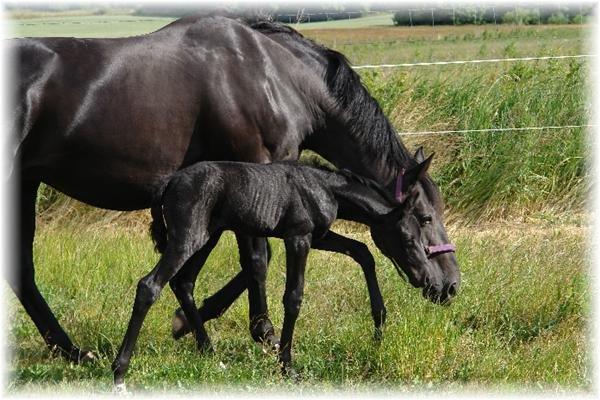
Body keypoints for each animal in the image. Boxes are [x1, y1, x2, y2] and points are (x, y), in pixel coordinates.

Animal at [110, 160, 434, 388]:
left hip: (206, 237)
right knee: (150, 285)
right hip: (187, 238)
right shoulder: (299, 238)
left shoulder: (319, 236)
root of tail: (169, 182)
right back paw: (120, 372)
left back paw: (210, 354)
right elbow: (293, 298)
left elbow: (363, 251)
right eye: (408, 239)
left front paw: (379, 327)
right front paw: (288, 367)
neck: (323, 187)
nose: (424, 278)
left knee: (183, 283)